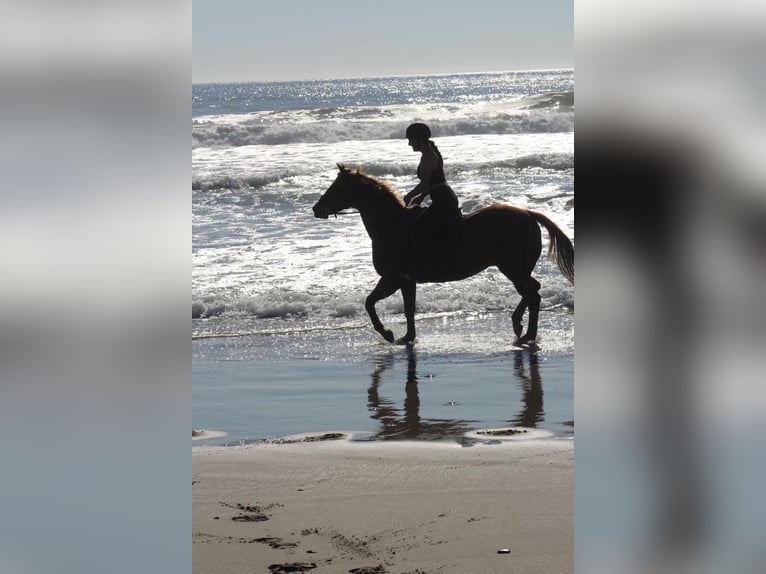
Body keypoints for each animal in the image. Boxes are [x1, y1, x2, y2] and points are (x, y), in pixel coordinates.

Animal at [314, 164, 576, 348]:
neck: (392, 226)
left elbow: (375, 303)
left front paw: (389, 334)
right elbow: (399, 307)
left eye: (337, 187)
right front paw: (405, 336)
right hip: (514, 269)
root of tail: (529, 214)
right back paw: (518, 324)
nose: (317, 209)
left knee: (533, 294)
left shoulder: (396, 278)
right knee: (532, 290)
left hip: (513, 268)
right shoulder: (402, 280)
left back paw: (527, 334)